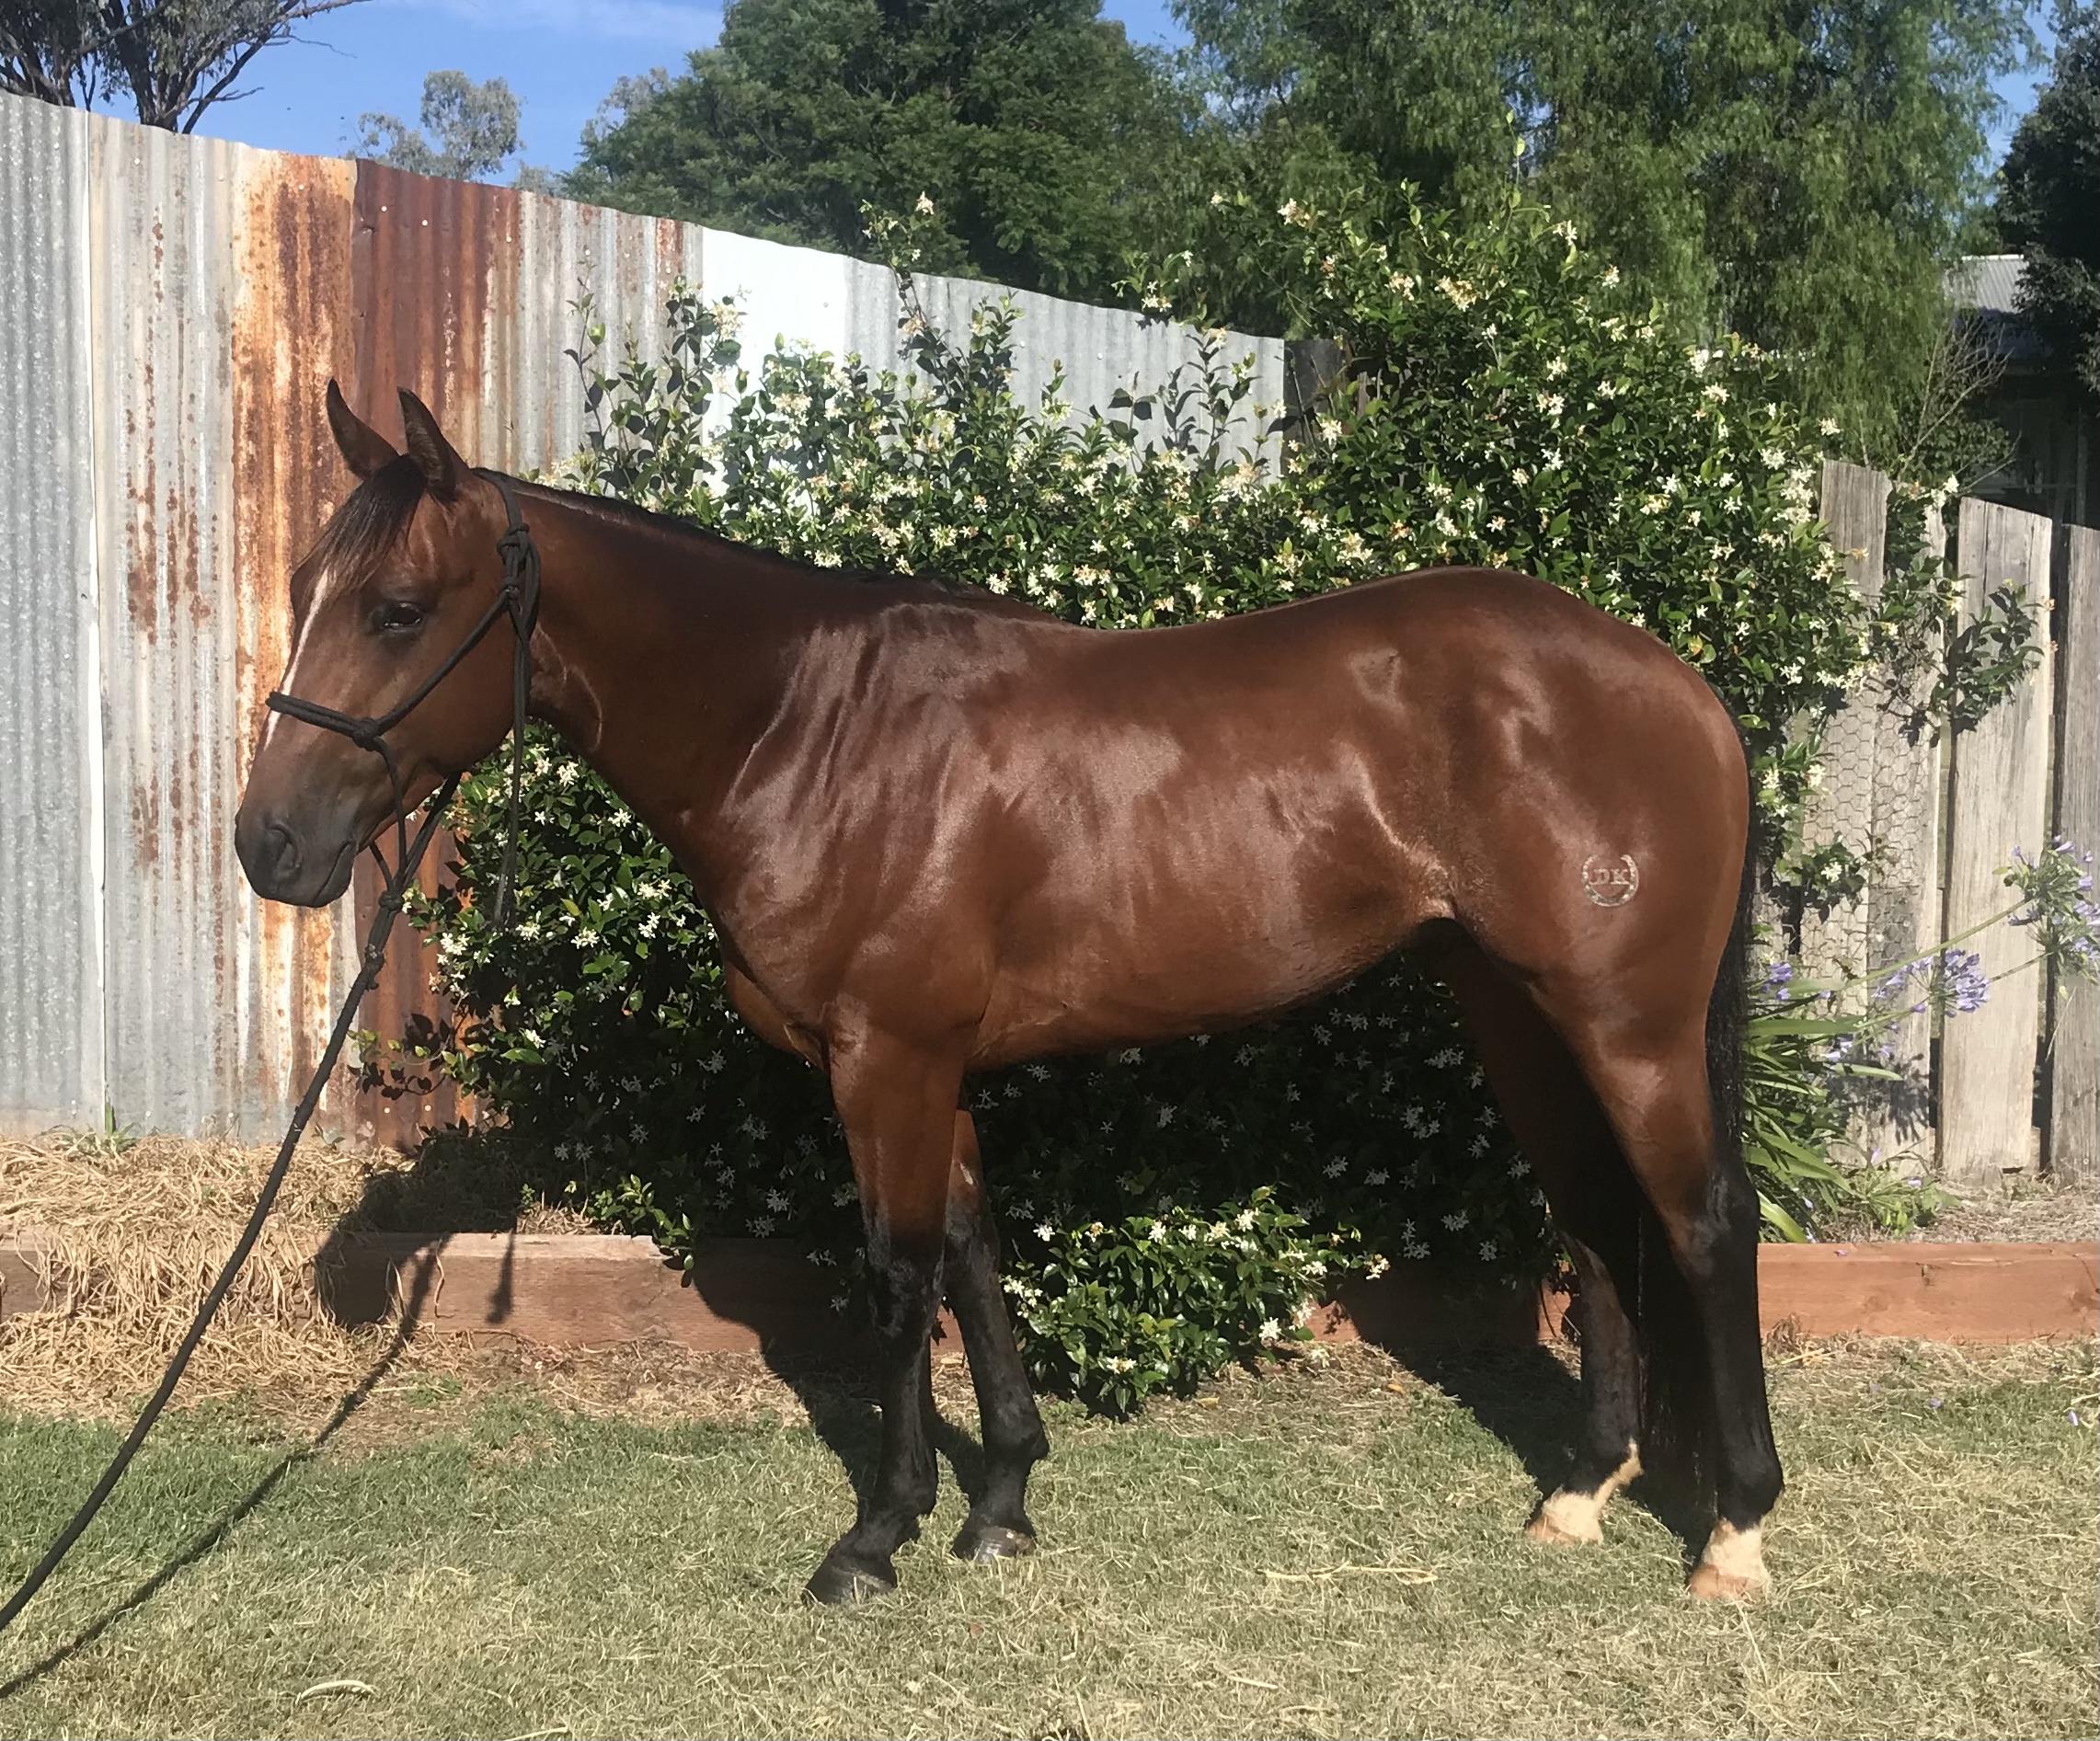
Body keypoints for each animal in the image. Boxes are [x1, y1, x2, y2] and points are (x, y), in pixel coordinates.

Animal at [236, 383, 1782, 1605]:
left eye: (395, 609)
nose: (270, 845)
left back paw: (1732, 1530)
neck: (809, 727)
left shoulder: (886, 1060)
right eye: (307, 584)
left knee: (1704, 1223)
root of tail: (1684, 688)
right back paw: (1579, 1491)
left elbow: (898, 1270)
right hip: (1515, 1010)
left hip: (1628, 1026)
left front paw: (875, 1536)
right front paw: (1000, 1504)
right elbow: (977, 1258)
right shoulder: (933, 1067)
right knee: (1594, 1222)